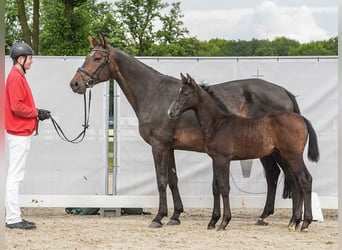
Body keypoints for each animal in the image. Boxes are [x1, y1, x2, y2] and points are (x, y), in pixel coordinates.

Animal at [70, 33, 302, 229]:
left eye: (97, 58)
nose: (75, 83)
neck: (154, 93)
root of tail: (283, 92)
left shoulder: (159, 146)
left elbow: (161, 181)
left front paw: (158, 217)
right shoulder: (170, 147)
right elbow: (173, 179)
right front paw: (175, 215)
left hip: (279, 151)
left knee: (290, 177)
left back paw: (293, 220)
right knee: (275, 176)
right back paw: (268, 216)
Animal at [167, 73, 320, 231]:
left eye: (185, 94)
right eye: (178, 92)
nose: (170, 112)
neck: (218, 123)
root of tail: (302, 119)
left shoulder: (223, 159)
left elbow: (224, 187)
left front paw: (224, 222)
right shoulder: (215, 159)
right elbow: (216, 187)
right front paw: (212, 222)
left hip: (292, 156)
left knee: (305, 179)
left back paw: (305, 222)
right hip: (285, 155)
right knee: (296, 181)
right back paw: (295, 222)